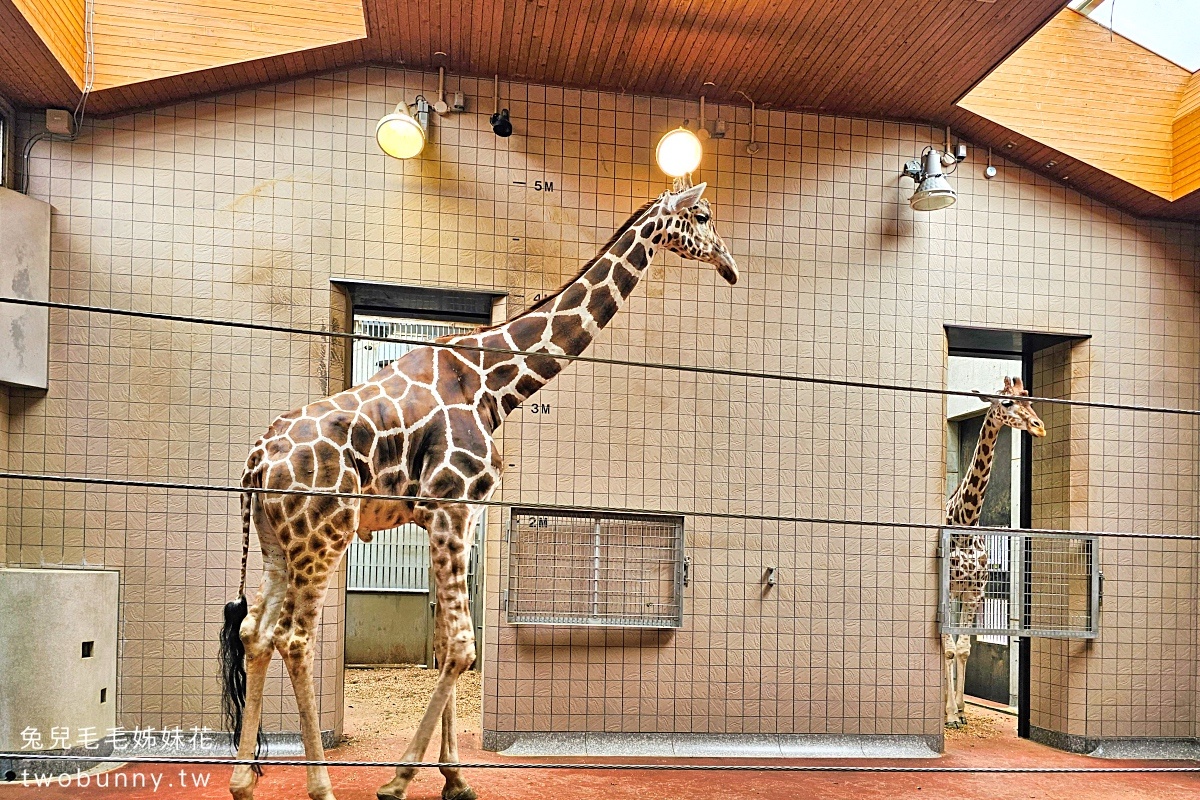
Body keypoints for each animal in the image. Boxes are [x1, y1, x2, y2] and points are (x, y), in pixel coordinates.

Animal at [219, 181, 734, 800]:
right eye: (702, 215)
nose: (730, 266)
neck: (492, 382)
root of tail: (257, 459)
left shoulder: (442, 513)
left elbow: (447, 641)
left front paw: (455, 778)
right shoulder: (453, 505)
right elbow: (464, 645)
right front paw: (400, 780)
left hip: (277, 541)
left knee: (256, 632)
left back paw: (243, 781)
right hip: (324, 533)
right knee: (295, 638)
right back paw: (321, 786)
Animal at [940, 376, 1046, 724]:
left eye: (1029, 399)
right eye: (1007, 402)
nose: (1039, 426)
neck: (965, 523)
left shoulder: (975, 590)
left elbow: (963, 648)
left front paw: (960, 711)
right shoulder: (947, 588)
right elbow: (947, 648)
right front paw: (948, 715)